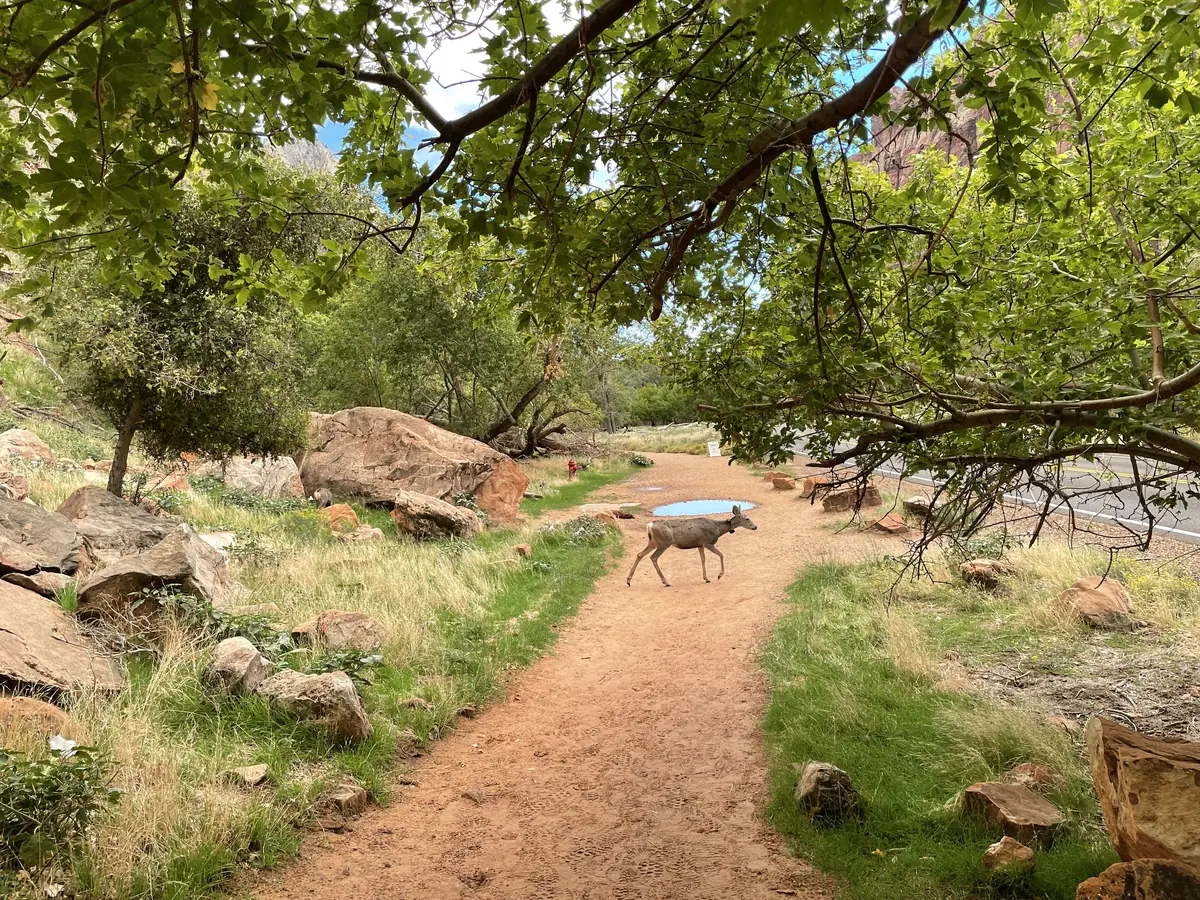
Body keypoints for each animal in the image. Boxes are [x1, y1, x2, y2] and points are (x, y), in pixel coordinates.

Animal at [626, 506, 758, 587]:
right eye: (747, 518)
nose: (755, 527)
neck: (718, 528)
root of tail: (650, 525)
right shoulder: (708, 542)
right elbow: (721, 555)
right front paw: (719, 575)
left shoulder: (700, 544)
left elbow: (703, 560)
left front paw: (706, 578)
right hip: (664, 543)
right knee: (653, 557)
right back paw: (666, 582)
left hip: (654, 542)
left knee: (640, 554)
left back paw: (628, 581)